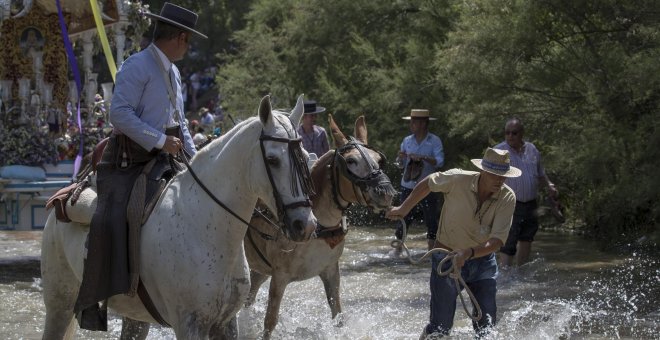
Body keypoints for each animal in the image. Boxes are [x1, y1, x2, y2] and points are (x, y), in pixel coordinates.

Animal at [40, 94, 318, 338]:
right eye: (272, 159)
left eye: (305, 157)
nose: (305, 225)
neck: (207, 226)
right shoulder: (189, 324)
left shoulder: (225, 323)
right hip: (60, 303)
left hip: (134, 317)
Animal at [244, 113, 394, 338]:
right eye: (351, 161)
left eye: (378, 160)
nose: (385, 192)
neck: (317, 227)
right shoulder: (279, 277)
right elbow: (270, 322)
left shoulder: (330, 271)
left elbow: (338, 316)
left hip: (259, 270)